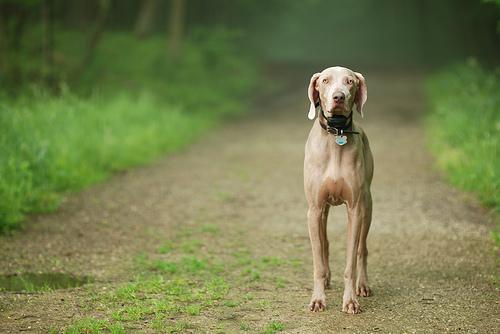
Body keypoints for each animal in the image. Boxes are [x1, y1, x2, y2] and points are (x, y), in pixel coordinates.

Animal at [302, 66, 374, 314]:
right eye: (325, 81)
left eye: (349, 81)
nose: (339, 97)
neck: (336, 134)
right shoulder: (314, 209)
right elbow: (317, 261)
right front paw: (317, 299)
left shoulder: (355, 209)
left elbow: (351, 262)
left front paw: (350, 301)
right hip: (322, 211)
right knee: (324, 244)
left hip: (367, 207)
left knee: (362, 248)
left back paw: (363, 285)